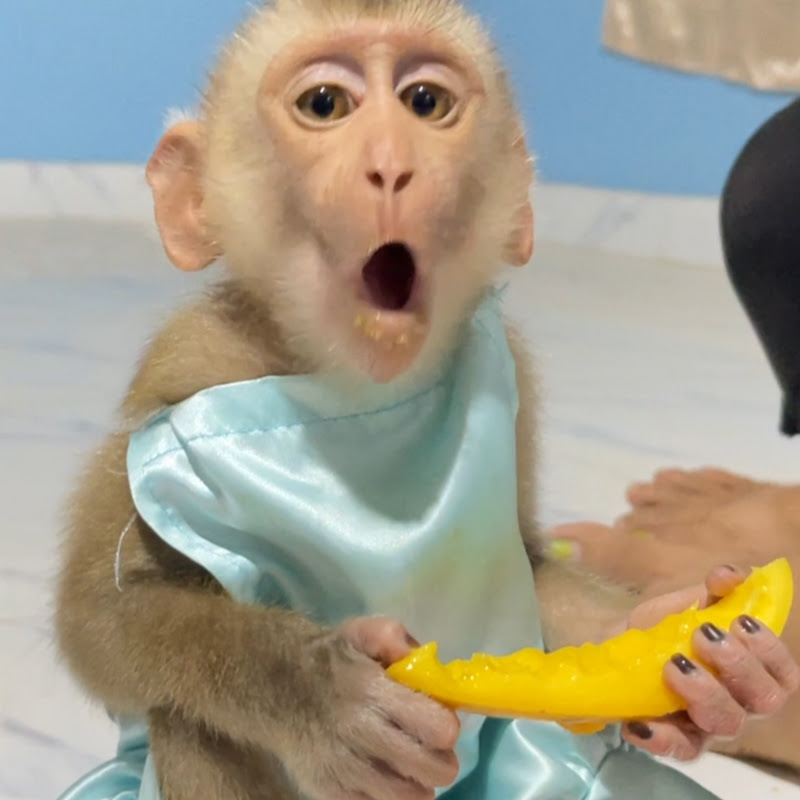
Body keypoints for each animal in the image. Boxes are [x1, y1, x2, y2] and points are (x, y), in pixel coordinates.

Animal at [53, 2, 799, 800]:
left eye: (424, 103)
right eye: (325, 104)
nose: (391, 165)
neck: (358, 389)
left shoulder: (515, 366)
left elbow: (533, 570)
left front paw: (697, 648)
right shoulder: (188, 367)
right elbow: (102, 614)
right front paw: (323, 692)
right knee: (192, 721)